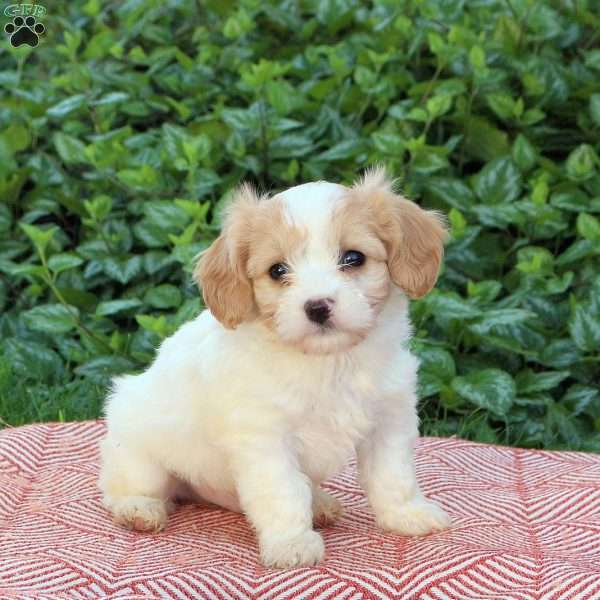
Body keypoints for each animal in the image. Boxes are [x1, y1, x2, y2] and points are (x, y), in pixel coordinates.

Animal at [98, 168, 450, 568]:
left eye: (353, 257)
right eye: (277, 270)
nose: (317, 306)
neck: (329, 362)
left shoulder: (390, 419)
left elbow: (394, 475)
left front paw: (407, 514)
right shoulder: (265, 439)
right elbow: (283, 491)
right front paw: (291, 544)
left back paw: (320, 503)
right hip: (139, 452)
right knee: (127, 485)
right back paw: (138, 509)